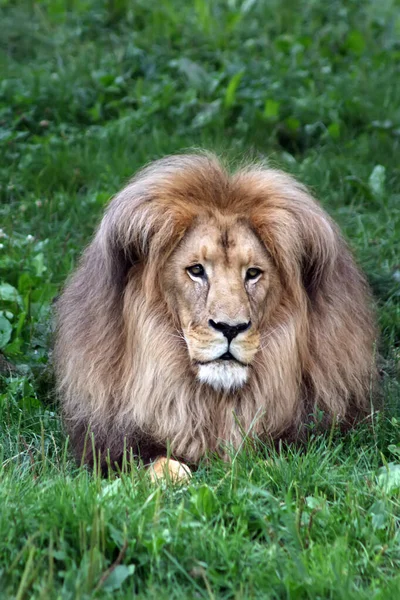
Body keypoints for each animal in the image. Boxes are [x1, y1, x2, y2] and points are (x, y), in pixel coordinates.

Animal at [54, 152, 376, 480]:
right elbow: (162, 466)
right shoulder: (107, 446)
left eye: (253, 273)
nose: (230, 328)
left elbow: (275, 462)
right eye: (196, 270)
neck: (214, 404)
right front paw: (176, 475)